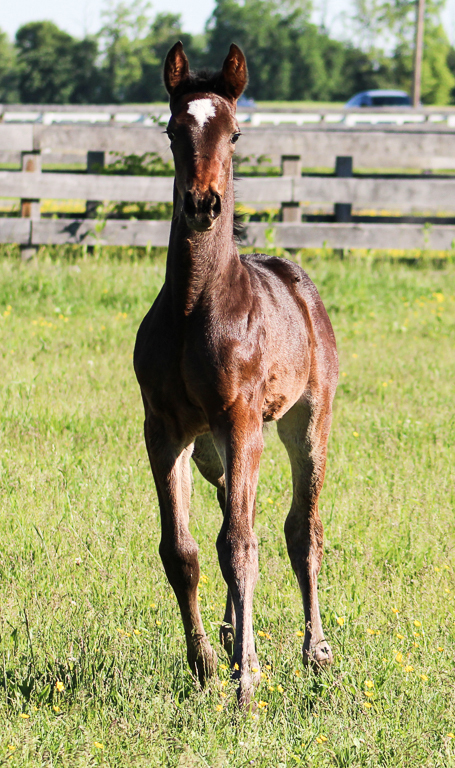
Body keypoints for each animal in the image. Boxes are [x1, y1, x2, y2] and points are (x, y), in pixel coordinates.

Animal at [134, 39, 340, 704]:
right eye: (174, 130)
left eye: (235, 132)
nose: (203, 203)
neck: (196, 306)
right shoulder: (165, 430)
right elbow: (184, 550)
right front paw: (204, 662)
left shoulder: (243, 421)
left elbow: (243, 545)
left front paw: (247, 678)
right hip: (211, 452)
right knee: (231, 513)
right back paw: (228, 637)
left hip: (304, 423)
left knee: (302, 530)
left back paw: (314, 651)